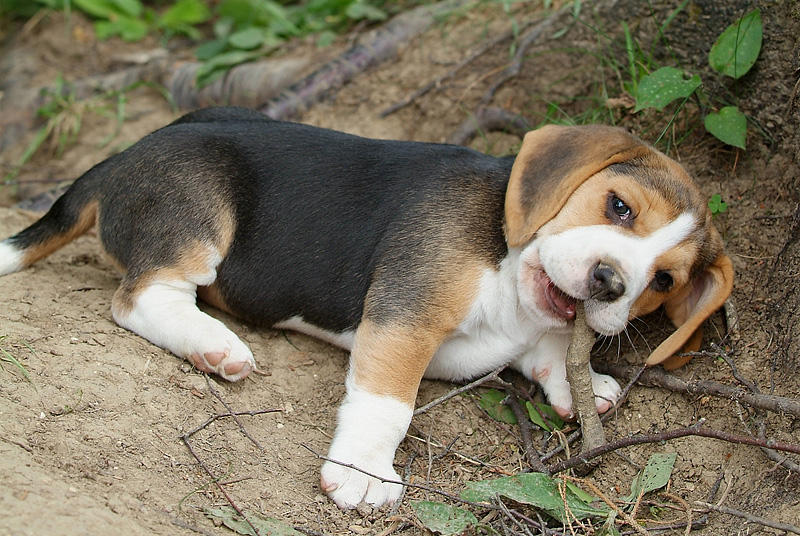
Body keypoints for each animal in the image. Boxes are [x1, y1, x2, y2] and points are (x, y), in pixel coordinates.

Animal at [0, 107, 736, 508]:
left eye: (664, 280)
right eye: (619, 206)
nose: (611, 282)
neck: (507, 261)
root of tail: (122, 155)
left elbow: (548, 348)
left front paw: (583, 384)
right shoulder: (405, 316)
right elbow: (388, 401)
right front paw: (360, 473)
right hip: (198, 207)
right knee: (140, 297)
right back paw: (216, 345)